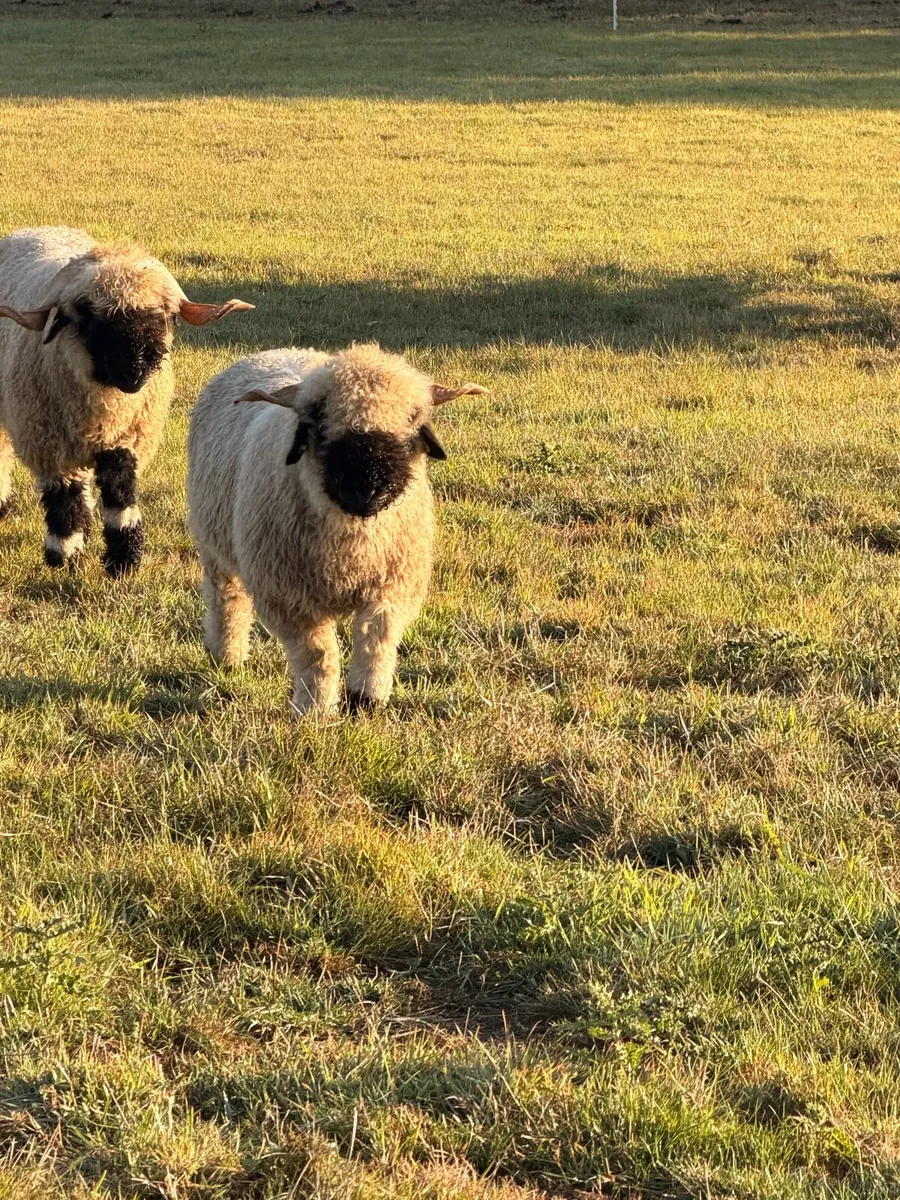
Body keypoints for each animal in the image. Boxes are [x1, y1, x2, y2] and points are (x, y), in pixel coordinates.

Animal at [0, 226, 253, 575]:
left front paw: (124, 560)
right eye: (88, 314)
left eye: (166, 316)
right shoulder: (49, 445)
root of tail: (35, 230)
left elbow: (119, 493)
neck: (106, 409)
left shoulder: (128, 437)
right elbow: (63, 500)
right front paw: (64, 557)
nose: (135, 369)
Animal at [187, 344, 486, 713]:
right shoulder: (291, 600)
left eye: (412, 420)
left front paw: (366, 698)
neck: (353, 544)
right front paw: (316, 708)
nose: (367, 491)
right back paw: (226, 655)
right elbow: (318, 653)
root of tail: (277, 350)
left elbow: (377, 637)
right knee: (227, 599)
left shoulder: (393, 586)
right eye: (319, 423)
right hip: (214, 546)